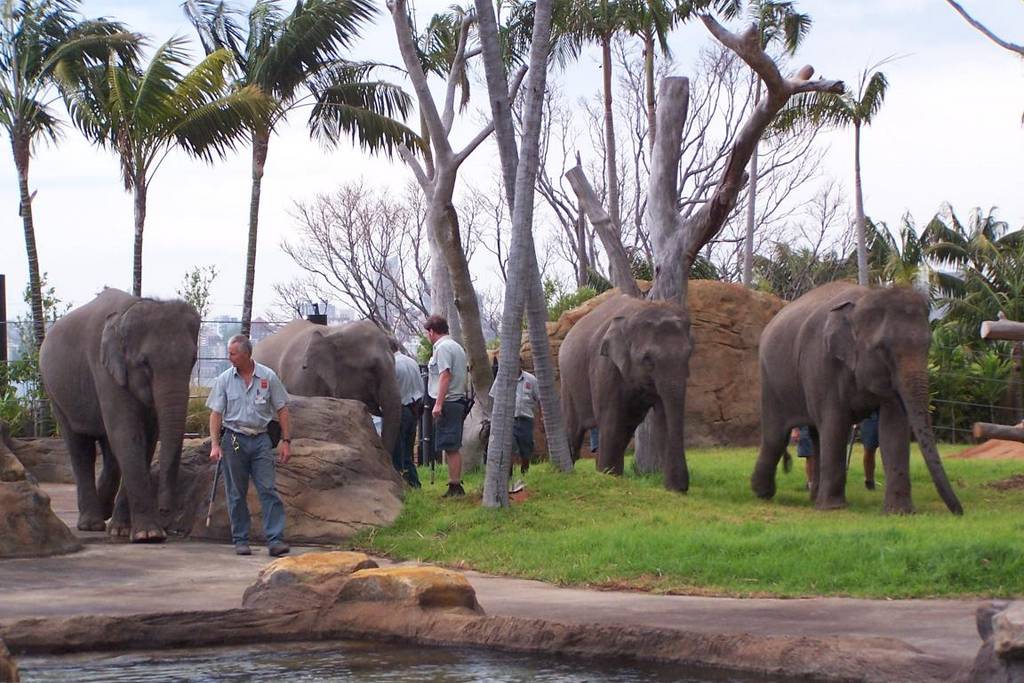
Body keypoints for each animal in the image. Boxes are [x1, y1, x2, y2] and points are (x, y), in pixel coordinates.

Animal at [39, 288, 201, 541]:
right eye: (144, 362)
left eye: (193, 359)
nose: (165, 510)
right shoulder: (104, 370)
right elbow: (128, 434)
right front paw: (149, 535)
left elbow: (147, 439)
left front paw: (124, 530)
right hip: (54, 392)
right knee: (80, 447)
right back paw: (91, 524)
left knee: (109, 449)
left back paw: (105, 510)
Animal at [559, 294, 692, 491]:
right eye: (647, 359)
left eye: (689, 355)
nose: (682, 488)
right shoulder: (605, 366)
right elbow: (612, 421)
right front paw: (609, 479)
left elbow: (663, 417)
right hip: (568, 381)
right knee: (574, 429)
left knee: (625, 430)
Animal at [752, 281, 963, 515]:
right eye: (882, 348)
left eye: (928, 345)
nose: (959, 512)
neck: (862, 301)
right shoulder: (820, 360)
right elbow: (835, 423)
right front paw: (833, 508)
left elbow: (893, 426)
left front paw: (899, 512)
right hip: (770, 379)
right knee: (776, 436)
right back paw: (763, 493)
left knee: (815, 434)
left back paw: (812, 498)